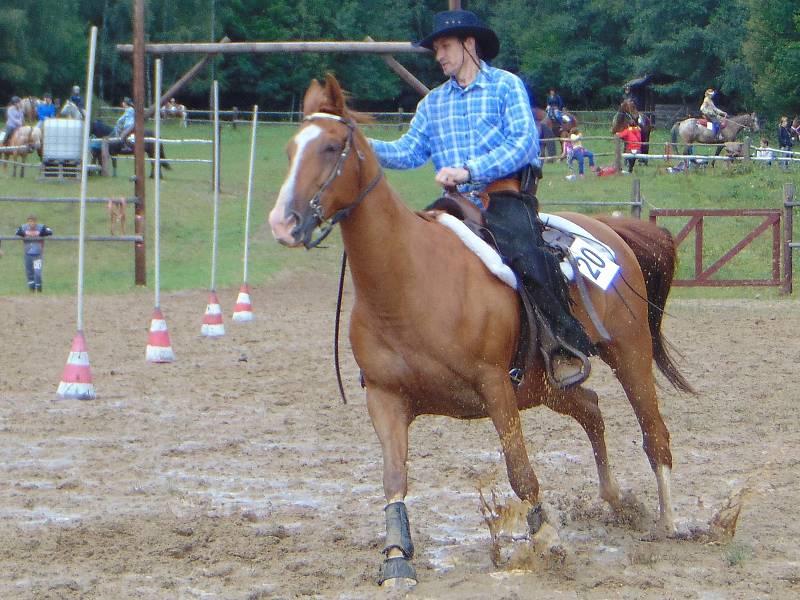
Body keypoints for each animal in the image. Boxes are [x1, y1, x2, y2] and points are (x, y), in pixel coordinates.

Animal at [268, 74, 692, 584]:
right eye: (290, 149)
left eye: (331, 146)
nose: (283, 222)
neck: (409, 281)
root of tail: (611, 231)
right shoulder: (386, 397)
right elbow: (394, 478)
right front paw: (396, 557)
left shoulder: (495, 386)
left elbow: (520, 469)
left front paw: (546, 539)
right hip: (543, 385)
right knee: (591, 408)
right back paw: (615, 500)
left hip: (629, 353)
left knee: (654, 433)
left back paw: (670, 519)